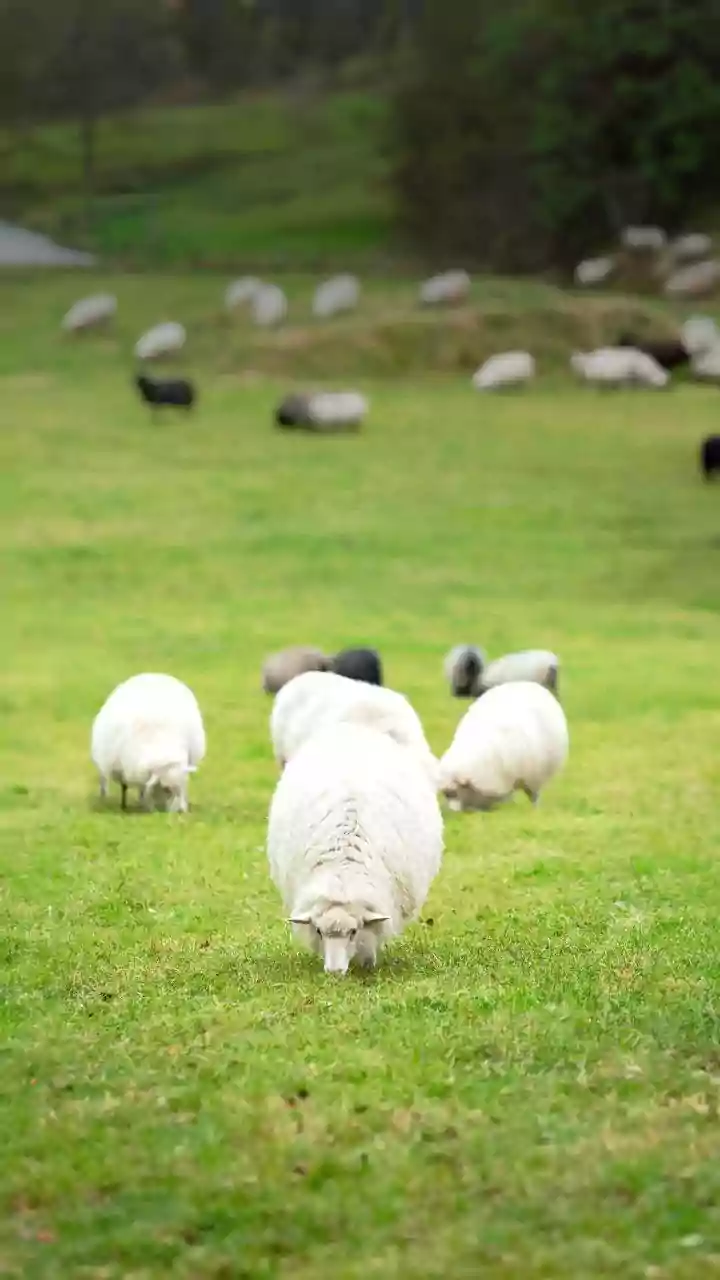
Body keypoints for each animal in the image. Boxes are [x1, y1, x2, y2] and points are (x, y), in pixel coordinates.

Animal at [91, 672, 205, 813]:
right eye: (166, 789)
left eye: (182, 786)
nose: (179, 812)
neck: (159, 744)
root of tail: (153, 674)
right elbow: (127, 787)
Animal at [267, 721, 443, 974]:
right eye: (319, 931)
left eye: (353, 932)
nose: (334, 973)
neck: (343, 870)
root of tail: (357, 727)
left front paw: (369, 964)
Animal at [438, 681, 568, 812]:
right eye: (446, 794)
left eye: (453, 793)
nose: (453, 812)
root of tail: (528, 683)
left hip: (535, 777)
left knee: (534, 795)